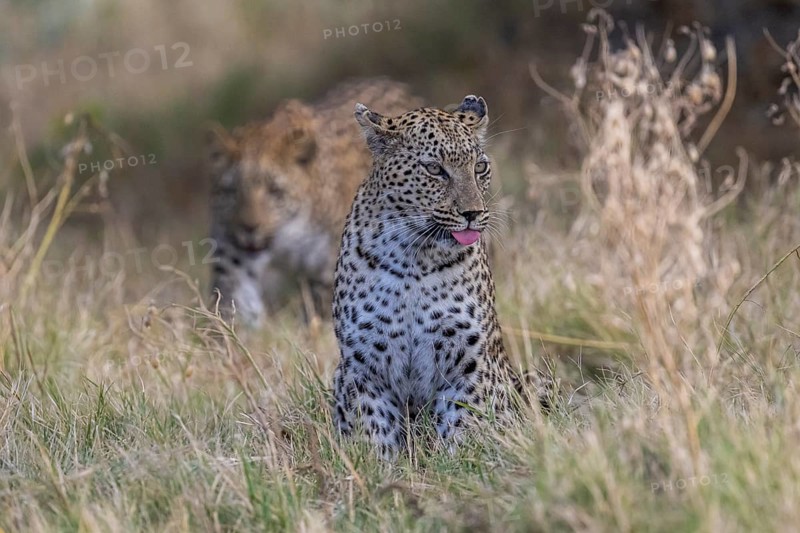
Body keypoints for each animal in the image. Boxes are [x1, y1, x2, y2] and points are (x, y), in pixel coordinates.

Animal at [207, 78, 423, 324]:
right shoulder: (232, 255)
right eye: (232, 191)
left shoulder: (330, 264)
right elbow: (235, 299)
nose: (249, 227)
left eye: (275, 191)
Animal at [331, 95, 552, 458]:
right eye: (434, 169)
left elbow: (465, 426)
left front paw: (462, 462)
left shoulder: (468, 363)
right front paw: (379, 466)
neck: (414, 261)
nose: (473, 214)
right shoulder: (363, 369)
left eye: (480, 168)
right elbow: (375, 435)